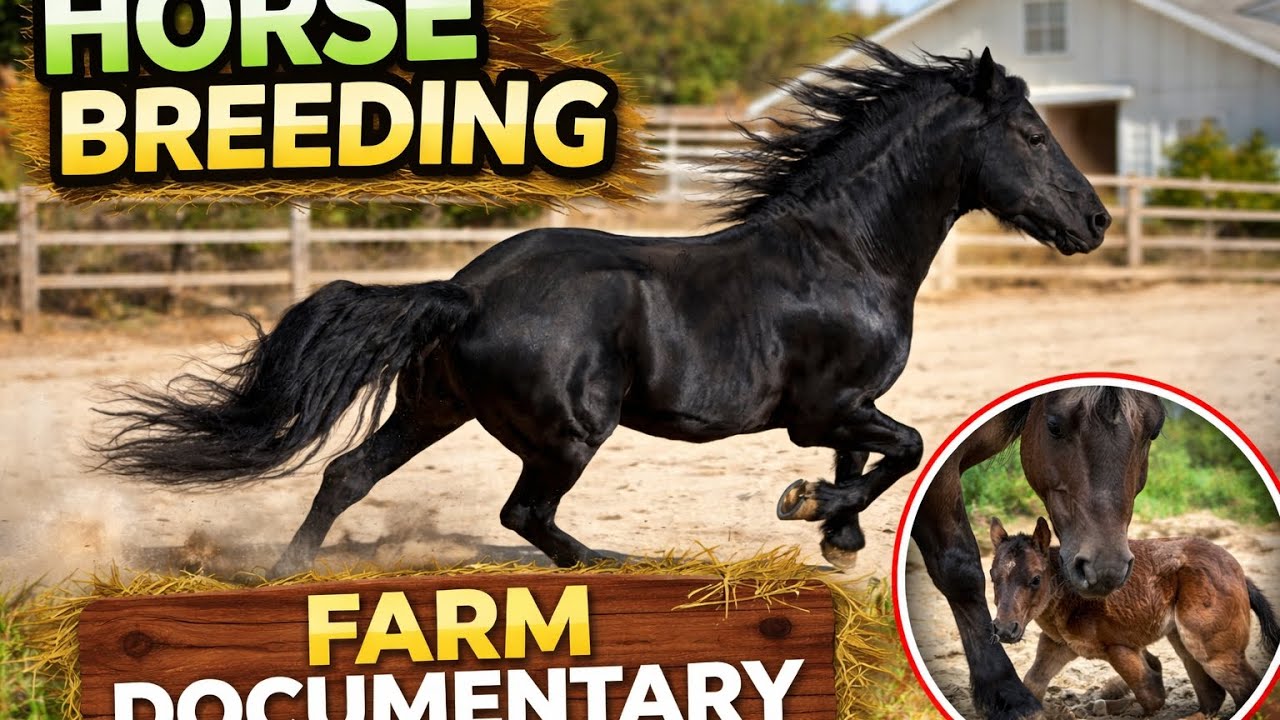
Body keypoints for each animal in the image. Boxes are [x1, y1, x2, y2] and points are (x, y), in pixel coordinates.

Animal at [94, 41, 1108, 589]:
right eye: (1029, 135)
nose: (1094, 221)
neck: (845, 254)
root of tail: (468, 290)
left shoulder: (840, 408)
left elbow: (868, 463)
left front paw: (838, 539)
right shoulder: (827, 407)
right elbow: (901, 449)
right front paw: (809, 510)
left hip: (435, 408)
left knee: (347, 475)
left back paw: (287, 574)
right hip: (569, 431)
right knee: (523, 513)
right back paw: (617, 564)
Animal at [989, 516, 1280, 718]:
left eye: (1035, 579)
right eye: (992, 576)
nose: (1004, 630)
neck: (1069, 591)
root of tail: (1240, 574)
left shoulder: (1120, 648)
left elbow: (1151, 694)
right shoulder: (1058, 645)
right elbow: (1032, 684)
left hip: (1211, 649)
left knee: (1243, 689)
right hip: (1183, 640)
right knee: (1213, 697)